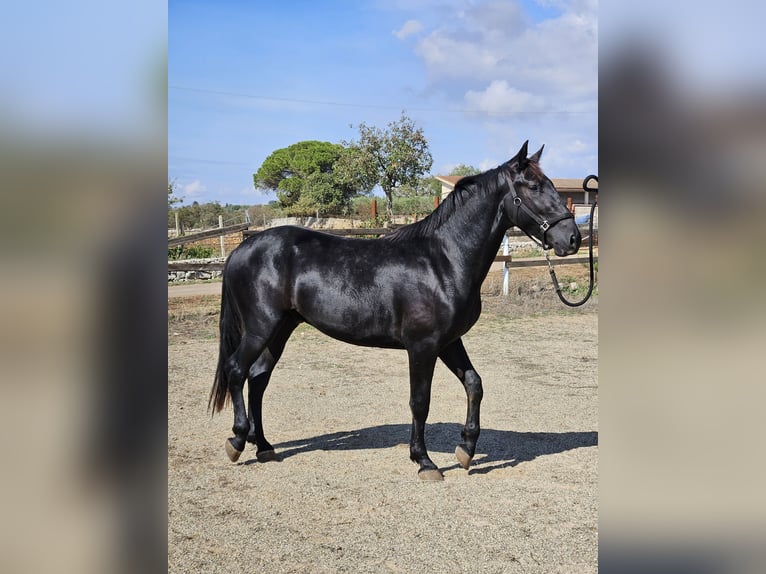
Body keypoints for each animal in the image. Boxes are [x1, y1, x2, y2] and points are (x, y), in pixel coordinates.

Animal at [210, 141, 584, 482]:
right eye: (533, 187)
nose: (572, 238)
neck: (443, 260)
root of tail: (242, 249)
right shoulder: (422, 346)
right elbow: (420, 401)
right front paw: (425, 462)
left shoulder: (449, 342)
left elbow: (474, 384)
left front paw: (465, 450)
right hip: (261, 327)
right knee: (238, 370)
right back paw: (238, 441)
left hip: (280, 329)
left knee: (259, 377)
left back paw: (264, 446)